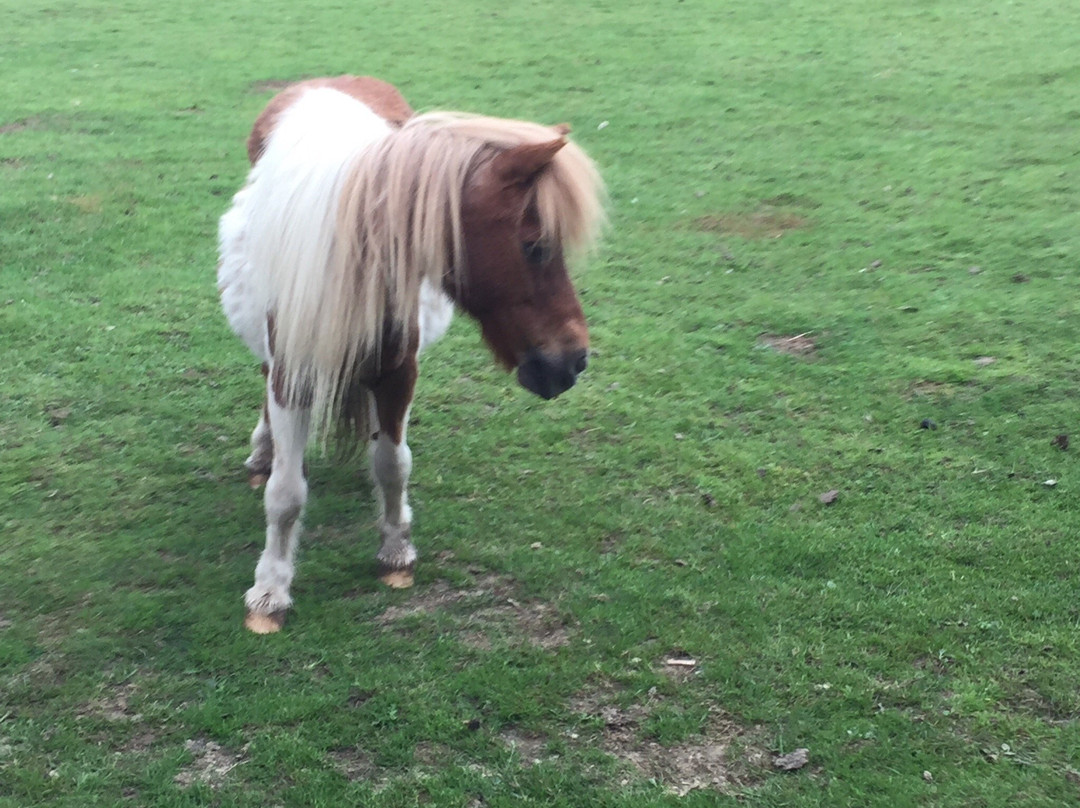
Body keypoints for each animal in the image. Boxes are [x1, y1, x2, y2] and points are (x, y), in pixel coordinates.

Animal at [217, 77, 609, 630]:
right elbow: (286, 494)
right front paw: (270, 589)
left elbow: (393, 463)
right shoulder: (292, 372)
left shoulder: (400, 371)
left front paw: (396, 550)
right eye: (535, 246)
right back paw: (263, 448)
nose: (573, 361)